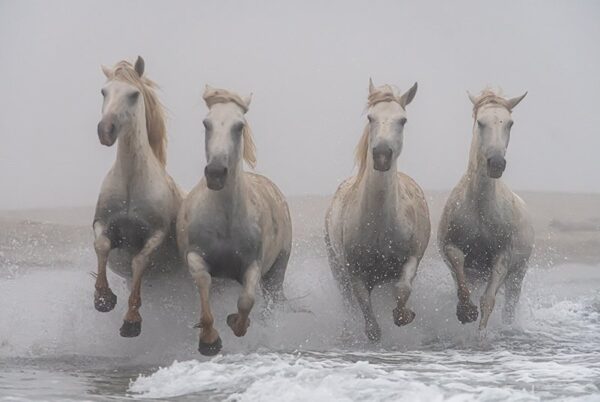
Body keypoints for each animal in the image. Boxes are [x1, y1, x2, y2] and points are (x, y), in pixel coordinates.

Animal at [92, 56, 183, 338]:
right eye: (104, 91)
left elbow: (139, 261)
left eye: (133, 95)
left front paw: (131, 321)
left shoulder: (156, 233)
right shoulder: (102, 224)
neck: (131, 184)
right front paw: (103, 299)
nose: (105, 130)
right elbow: (102, 246)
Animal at [177, 85, 292, 354]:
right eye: (206, 123)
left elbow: (246, 300)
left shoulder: (253, 265)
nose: (216, 173)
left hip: (276, 273)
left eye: (239, 126)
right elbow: (204, 287)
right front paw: (209, 340)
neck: (226, 222)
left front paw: (237, 323)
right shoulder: (195, 256)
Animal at [324, 79, 432, 342]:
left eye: (402, 120)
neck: (380, 224)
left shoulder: (412, 257)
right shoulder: (354, 273)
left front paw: (404, 315)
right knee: (348, 304)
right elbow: (367, 314)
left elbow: (403, 288)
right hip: (337, 271)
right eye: (371, 117)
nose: (382, 155)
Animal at [436, 88, 536, 330]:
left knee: (509, 305)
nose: (496, 163)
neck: (480, 208)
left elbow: (488, 302)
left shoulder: (503, 257)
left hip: (517, 276)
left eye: (510, 123)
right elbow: (462, 284)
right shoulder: (453, 248)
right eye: (481, 122)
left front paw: (480, 336)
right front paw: (465, 312)